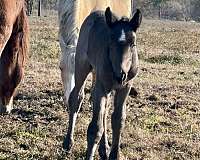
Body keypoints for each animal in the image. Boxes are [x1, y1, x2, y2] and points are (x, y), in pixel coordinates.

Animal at [64, 6, 142, 159]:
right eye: (110, 41)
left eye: (133, 43)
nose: (120, 75)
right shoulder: (102, 86)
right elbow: (95, 128)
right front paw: (89, 155)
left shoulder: (125, 87)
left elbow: (118, 120)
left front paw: (114, 154)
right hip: (82, 66)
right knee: (76, 98)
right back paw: (68, 141)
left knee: (104, 111)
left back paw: (104, 148)